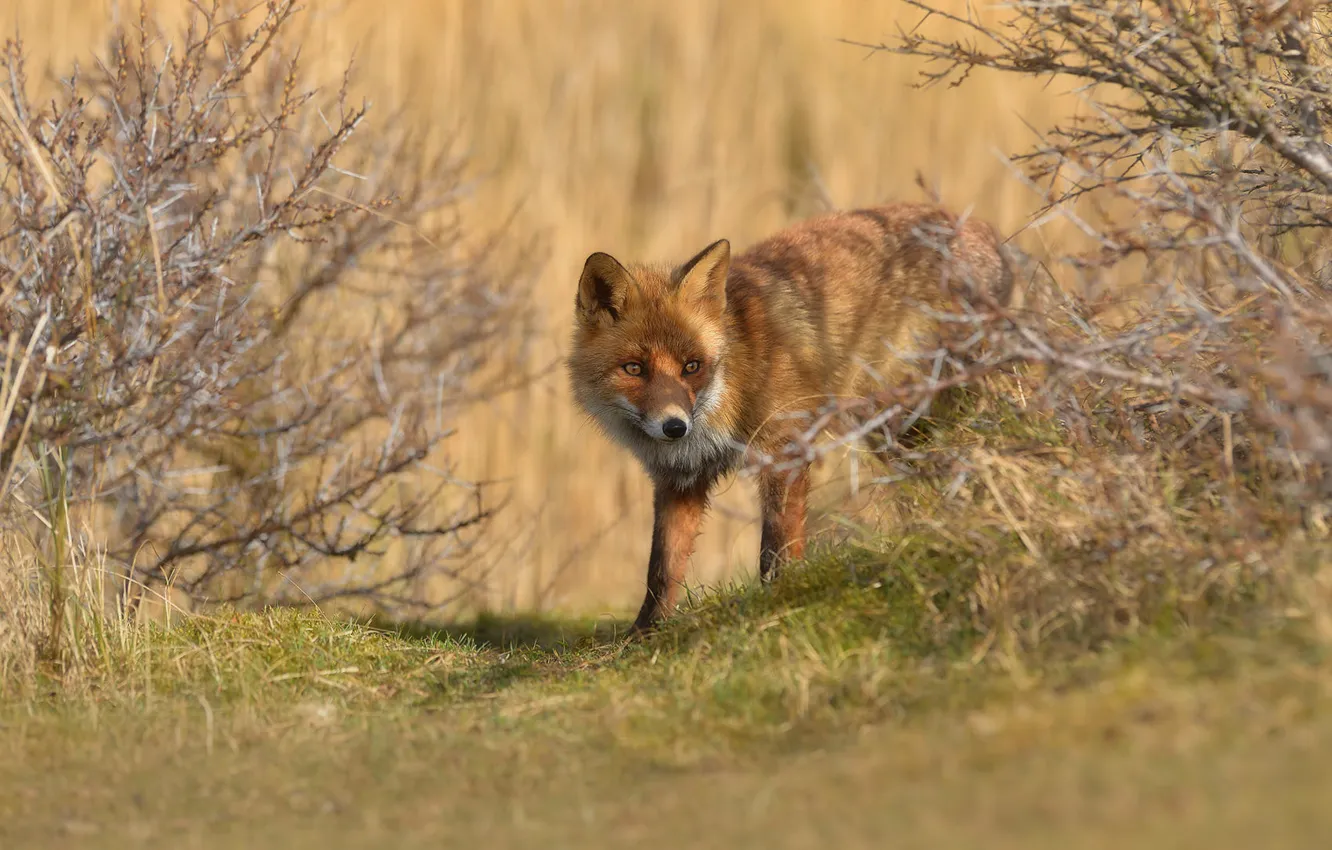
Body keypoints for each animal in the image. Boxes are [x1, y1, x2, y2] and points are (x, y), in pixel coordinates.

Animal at [568, 202, 1014, 633]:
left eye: (692, 366)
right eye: (634, 369)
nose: (675, 427)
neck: (733, 384)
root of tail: (982, 228)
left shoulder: (784, 448)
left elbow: (777, 544)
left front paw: (777, 601)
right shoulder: (679, 479)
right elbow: (662, 568)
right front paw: (644, 633)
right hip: (896, 431)